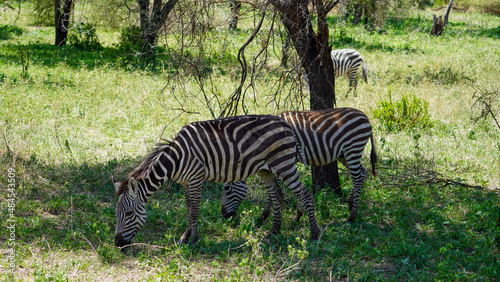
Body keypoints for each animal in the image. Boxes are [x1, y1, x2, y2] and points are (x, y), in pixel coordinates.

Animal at [113, 114, 318, 247]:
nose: (117, 243)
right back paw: (274, 231)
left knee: (306, 194)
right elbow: (188, 207)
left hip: (284, 164)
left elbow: (194, 208)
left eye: (129, 213)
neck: (176, 160)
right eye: (117, 213)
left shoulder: (196, 178)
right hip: (265, 170)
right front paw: (185, 236)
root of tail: (285, 123)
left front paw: (194, 239)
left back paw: (314, 234)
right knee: (277, 195)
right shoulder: (185, 183)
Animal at [221, 108, 376, 225]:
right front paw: (297, 215)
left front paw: (265, 215)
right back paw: (350, 203)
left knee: (357, 177)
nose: (224, 215)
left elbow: (275, 190)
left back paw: (352, 216)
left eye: (227, 189)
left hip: (353, 148)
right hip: (344, 154)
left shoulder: (281, 160)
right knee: (363, 173)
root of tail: (365, 116)